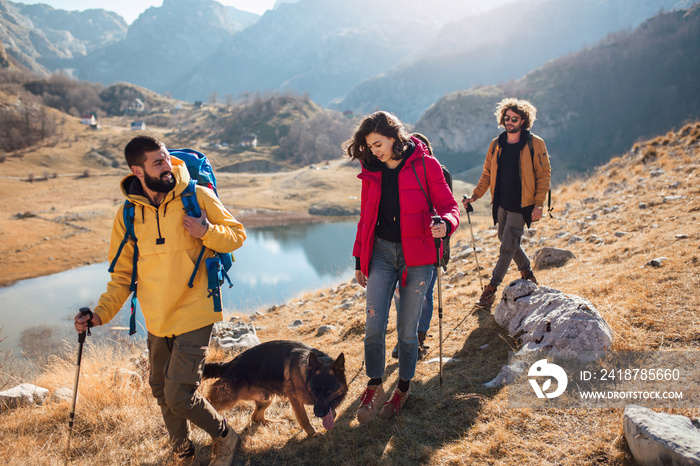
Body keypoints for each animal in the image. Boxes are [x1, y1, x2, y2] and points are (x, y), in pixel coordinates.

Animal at [201, 338, 346, 436]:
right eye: (314, 391)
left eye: (329, 391)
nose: (318, 414)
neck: (306, 373)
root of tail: (229, 364)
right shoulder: (294, 398)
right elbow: (304, 419)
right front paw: (313, 434)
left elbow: (332, 411)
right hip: (227, 399)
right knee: (209, 403)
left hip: (266, 397)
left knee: (255, 418)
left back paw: (272, 423)